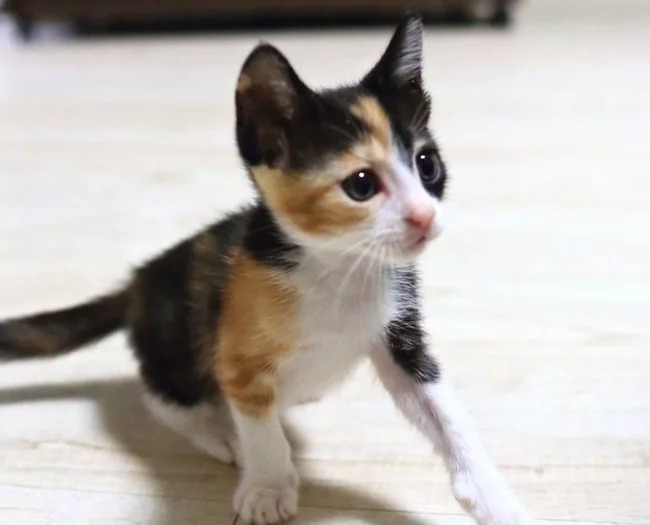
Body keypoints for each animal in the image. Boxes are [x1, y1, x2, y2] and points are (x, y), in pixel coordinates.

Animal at [0, 14, 532, 525]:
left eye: (427, 164)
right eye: (361, 184)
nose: (424, 217)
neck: (337, 267)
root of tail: (137, 281)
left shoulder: (399, 333)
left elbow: (446, 410)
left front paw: (495, 499)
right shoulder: (238, 357)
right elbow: (260, 427)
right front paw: (268, 488)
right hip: (178, 333)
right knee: (162, 391)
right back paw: (217, 431)